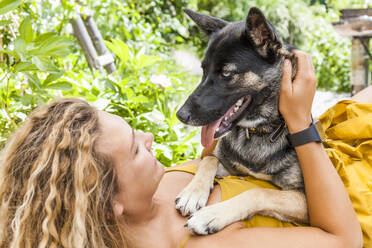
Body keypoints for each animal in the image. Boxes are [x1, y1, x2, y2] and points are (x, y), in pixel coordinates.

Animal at [174, 6, 308, 235]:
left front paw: (212, 215)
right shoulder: (228, 166)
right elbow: (209, 160)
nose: (181, 115)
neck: (258, 131)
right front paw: (193, 193)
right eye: (203, 69)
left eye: (227, 73)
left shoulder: (305, 201)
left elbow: (259, 192)